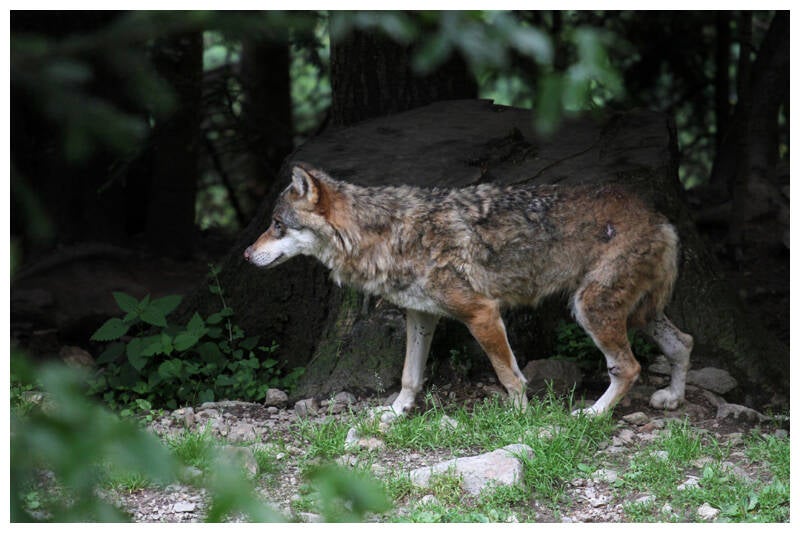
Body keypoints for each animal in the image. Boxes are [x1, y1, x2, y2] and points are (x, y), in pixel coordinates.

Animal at [244, 163, 693, 420]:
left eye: (277, 225)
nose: (247, 255)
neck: (390, 235)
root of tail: (659, 218)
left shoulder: (482, 313)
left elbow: (510, 377)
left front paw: (522, 420)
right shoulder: (421, 315)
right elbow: (410, 376)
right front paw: (395, 412)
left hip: (590, 309)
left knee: (629, 367)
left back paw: (593, 416)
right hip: (634, 313)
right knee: (683, 342)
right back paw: (672, 397)